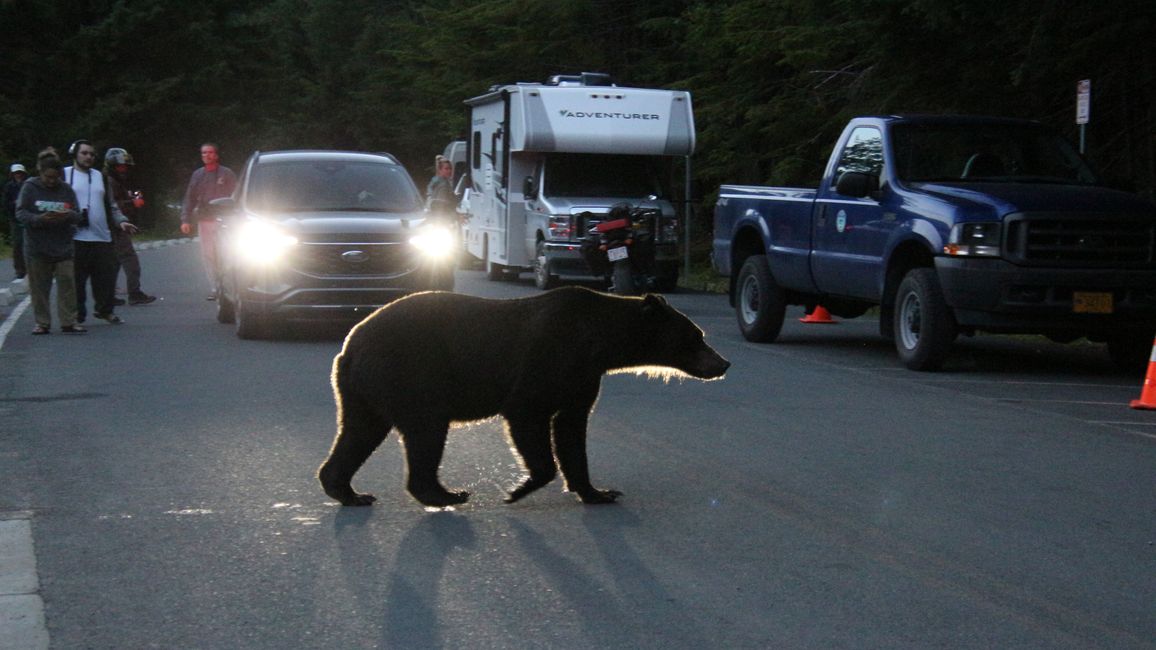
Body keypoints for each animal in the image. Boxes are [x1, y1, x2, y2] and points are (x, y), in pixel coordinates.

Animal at [321, 286, 725, 506]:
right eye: (696, 336)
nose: (724, 363)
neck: (598, 342)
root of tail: (349, 346)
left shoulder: (582, 378)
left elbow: (572, 430)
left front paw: (598, 491)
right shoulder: (548, 359)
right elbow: (527, 413)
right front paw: (518, 488)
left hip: (364, 392)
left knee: (359, 432)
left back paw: (349, 491)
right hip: (412, 375)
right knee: (426, 431)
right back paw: (447, 494)